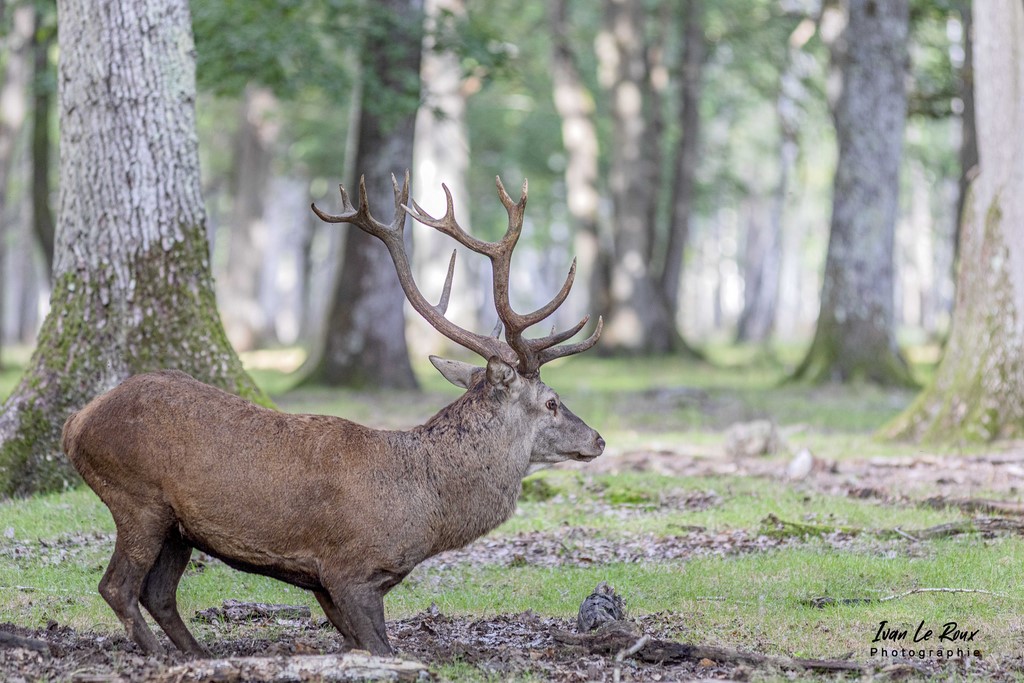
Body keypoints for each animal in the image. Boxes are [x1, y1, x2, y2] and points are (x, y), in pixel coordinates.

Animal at [61, 172, 604, 658]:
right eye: (552, 402)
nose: (598, 439)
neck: (424, 509)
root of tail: (75, 424)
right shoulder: (348, 569)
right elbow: (382, 648)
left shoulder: (334, 585)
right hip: (136, 498)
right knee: (117, 586)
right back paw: (160, 656)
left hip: (177, 525)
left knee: (158, 593)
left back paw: (197, 655)